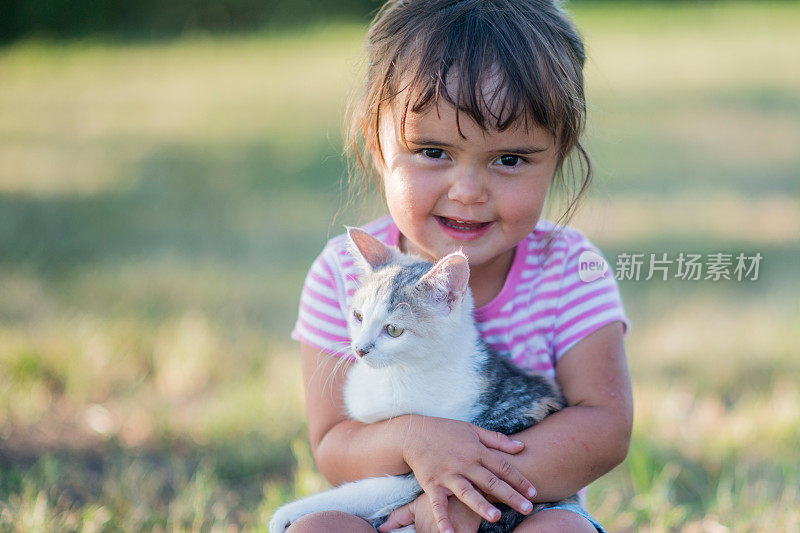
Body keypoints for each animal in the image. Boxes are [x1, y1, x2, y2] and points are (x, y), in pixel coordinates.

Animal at [270, 227, 576, 528]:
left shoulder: (445, 462)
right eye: (358, 316)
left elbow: (365, 490)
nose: (360, 349)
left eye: (393, 330)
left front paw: (286, 512)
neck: (398, 373)